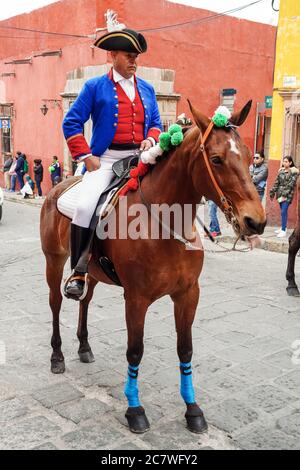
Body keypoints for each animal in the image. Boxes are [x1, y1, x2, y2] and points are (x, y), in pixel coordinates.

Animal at [41, 101, 266, 436]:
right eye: (216, 159)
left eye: (251, 156)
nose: (256, 222)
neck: (165, 221)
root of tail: (62, 184)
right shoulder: (136, 299)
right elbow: (135, 350)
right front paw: (135, 409)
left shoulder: (188, 294)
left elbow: (185, 349)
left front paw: (192, 409)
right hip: (53, 261)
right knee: (55, 303)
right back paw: (57, 356)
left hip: (91, 272)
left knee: (85, 301)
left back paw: (84, 346)